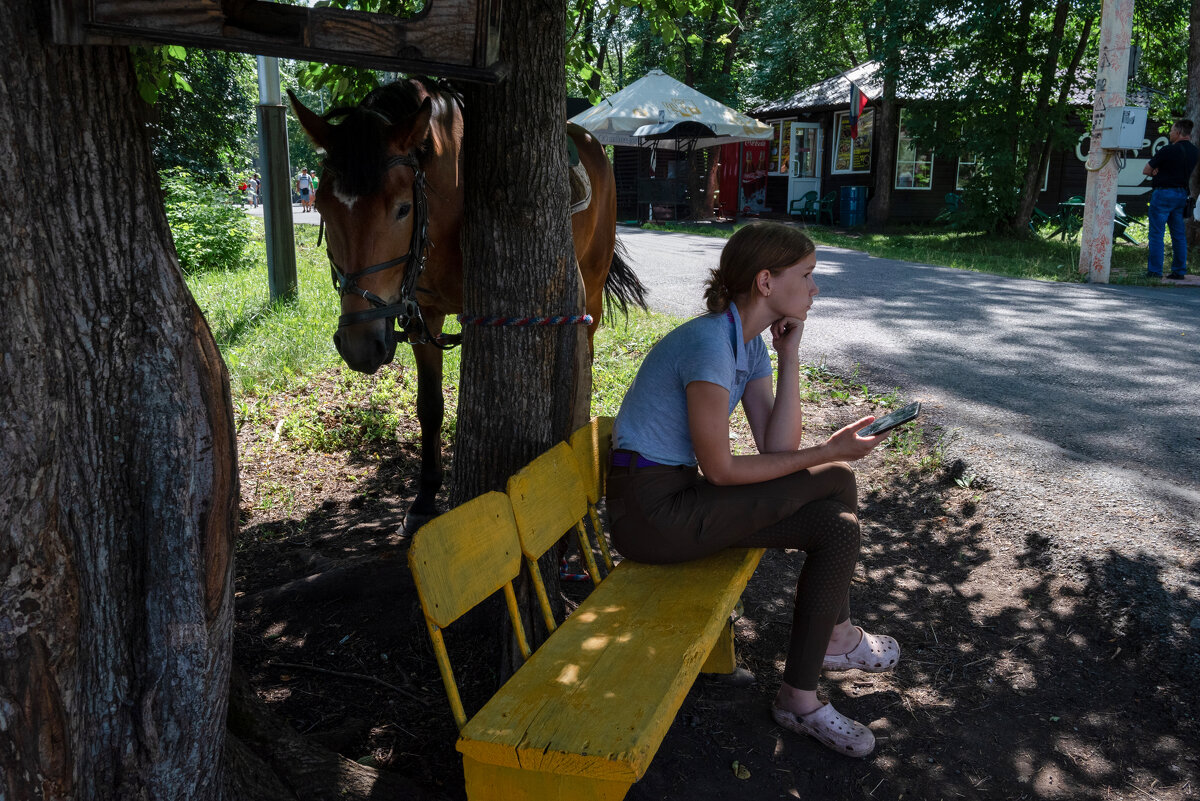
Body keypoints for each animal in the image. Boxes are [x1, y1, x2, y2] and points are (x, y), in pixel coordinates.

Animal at [289, 81, 643, 532]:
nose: (359, 344)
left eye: (403, 208)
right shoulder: (423, 315)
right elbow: (430, 407)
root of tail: (591, 141)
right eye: (322, 207)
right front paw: (424, 497)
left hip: (592, 287)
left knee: (588, 352)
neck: (446, 206)